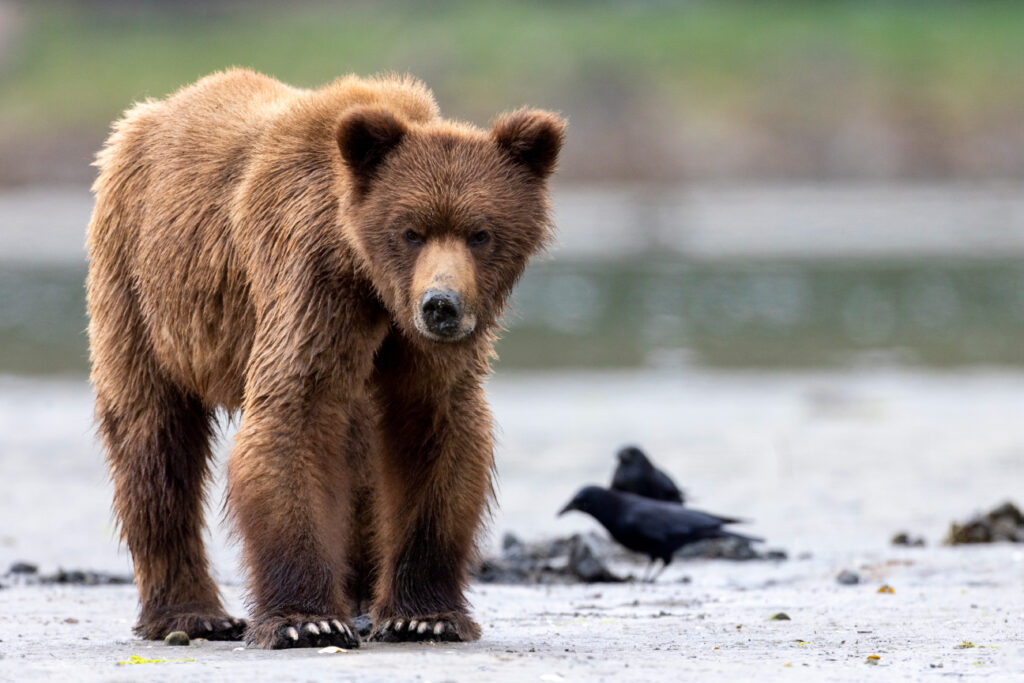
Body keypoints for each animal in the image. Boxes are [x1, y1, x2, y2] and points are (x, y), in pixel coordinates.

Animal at [86, 70, 569, 651]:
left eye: (480, 232)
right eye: (410, 231)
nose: (441, 305)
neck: (373, 282)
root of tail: (145, 117)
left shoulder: (419, 349)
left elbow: (435, 428)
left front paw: (424, 616)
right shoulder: (311, 280)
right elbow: (295, 411)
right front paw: (306, 621)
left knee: (359, 453)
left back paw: (359, 601)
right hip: (141, 286)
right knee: (154, 440)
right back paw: (192, 614)